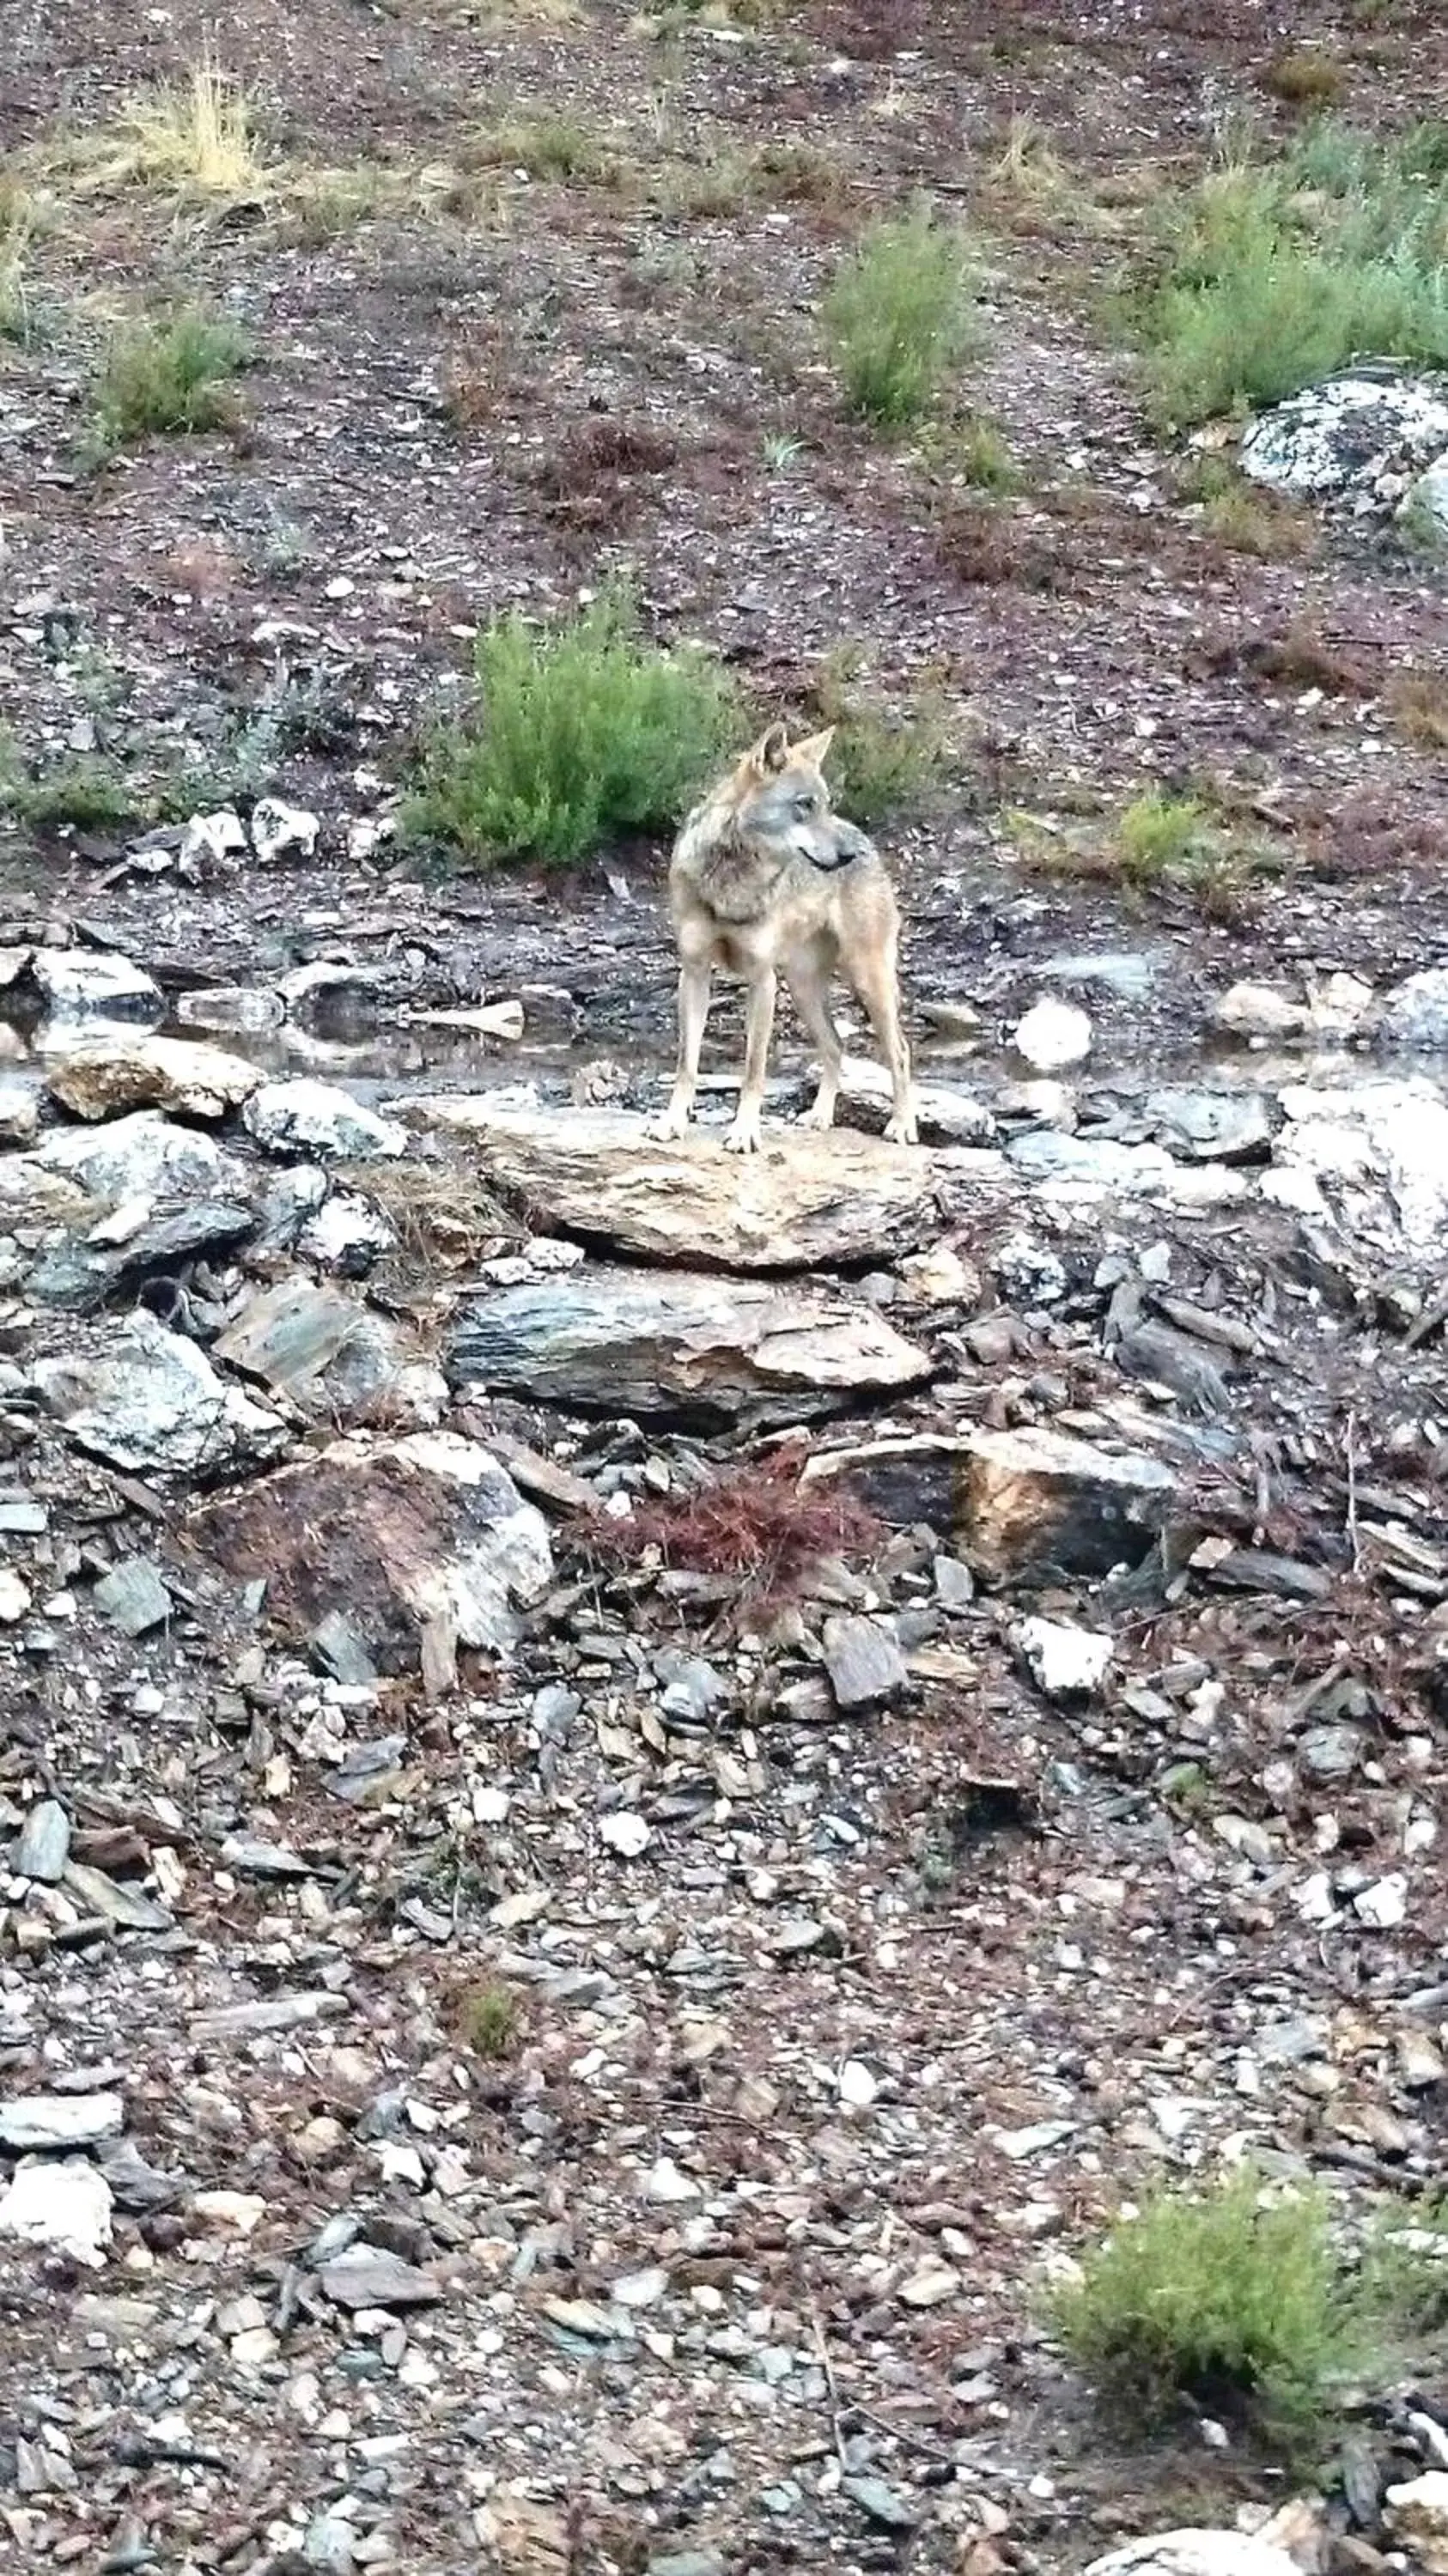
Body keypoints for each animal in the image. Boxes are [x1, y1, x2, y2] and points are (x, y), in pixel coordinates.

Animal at [652, 721, 912, 1154]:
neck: (732, 877)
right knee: (836, 1046)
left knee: (900, 1051)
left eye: (824, 804)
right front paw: (671, 1123)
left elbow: (753, 1068)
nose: (848, 855)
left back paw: (903, 1125)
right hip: (802, 987)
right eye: (804, 805)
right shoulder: (694, 973)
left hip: (866, 982)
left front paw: (744, 1132)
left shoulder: (762, 980)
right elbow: (686, 1064)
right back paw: (820, 1117)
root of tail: (865, 838)